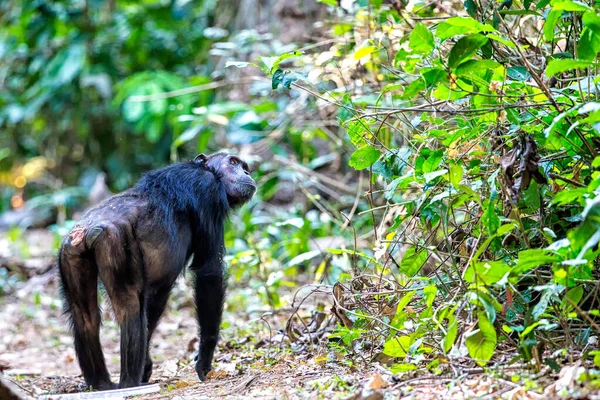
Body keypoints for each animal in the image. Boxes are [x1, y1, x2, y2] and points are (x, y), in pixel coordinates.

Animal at [55, 152, 253, 390]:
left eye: (244, 166)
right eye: (233, 162)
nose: (247, 172)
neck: (209, 171)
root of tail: (84, 232)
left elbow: (155, 302)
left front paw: (147, 364)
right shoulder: (209, 191)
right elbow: (209, 270)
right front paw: (204, 360)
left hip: (70, 255)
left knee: (85, 316)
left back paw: (101, 384)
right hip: (113, 242)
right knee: (130, 307)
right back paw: (130, 384)